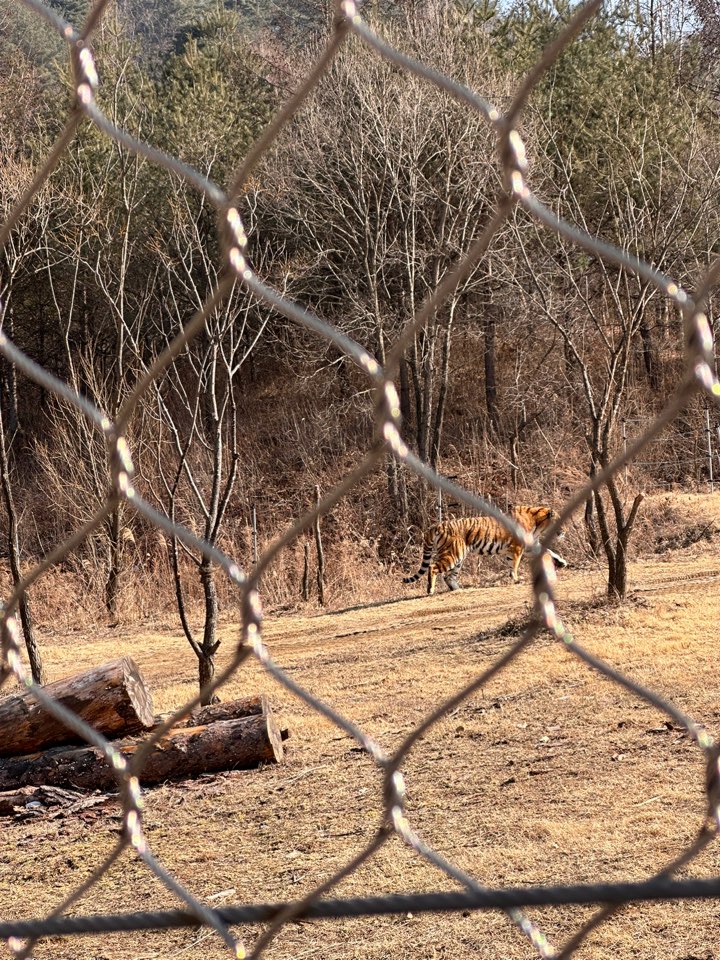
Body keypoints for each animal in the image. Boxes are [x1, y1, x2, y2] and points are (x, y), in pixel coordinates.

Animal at [402, 506, 564, 596]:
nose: (565, 531)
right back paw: (430, 589)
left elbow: (548, 551)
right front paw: (517, 579)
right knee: (433, 567)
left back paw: (459, 590)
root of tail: (436, 526)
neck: (538, 524)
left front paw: (562, 562)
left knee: (449, 577)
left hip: (458, 558)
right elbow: (515, 565)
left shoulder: (529, 546)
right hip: (452, 555)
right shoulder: (518, 548)